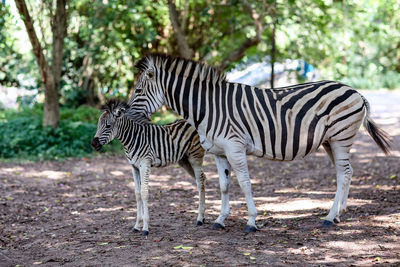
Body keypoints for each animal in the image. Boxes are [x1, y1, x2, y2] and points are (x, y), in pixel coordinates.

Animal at [91, 99, 206, 236]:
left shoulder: (145, 163)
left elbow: (144, 192)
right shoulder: (134, 167)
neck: (132, 139)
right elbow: (137, 193)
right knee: (203, 178)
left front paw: (145, 227)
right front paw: (136, 225)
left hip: (195, 157)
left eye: (108, 126)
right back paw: (204, 216)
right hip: (184, 161)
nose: (93, 144)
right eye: (98, 125)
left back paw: (199, 219)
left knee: (200, 182)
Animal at [128, 54, 390, 232]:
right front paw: (220, 220)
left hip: (340, 137)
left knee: (344, 173)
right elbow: (224, 186)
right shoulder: (218, 152)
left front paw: (252, 221)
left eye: (138, 91)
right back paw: (338, 214)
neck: (208, 107)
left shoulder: (234, 147)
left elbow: (245, 184)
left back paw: (330, 217)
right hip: (330, 141)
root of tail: (355, 91)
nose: (126, 115)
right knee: (346, 172)